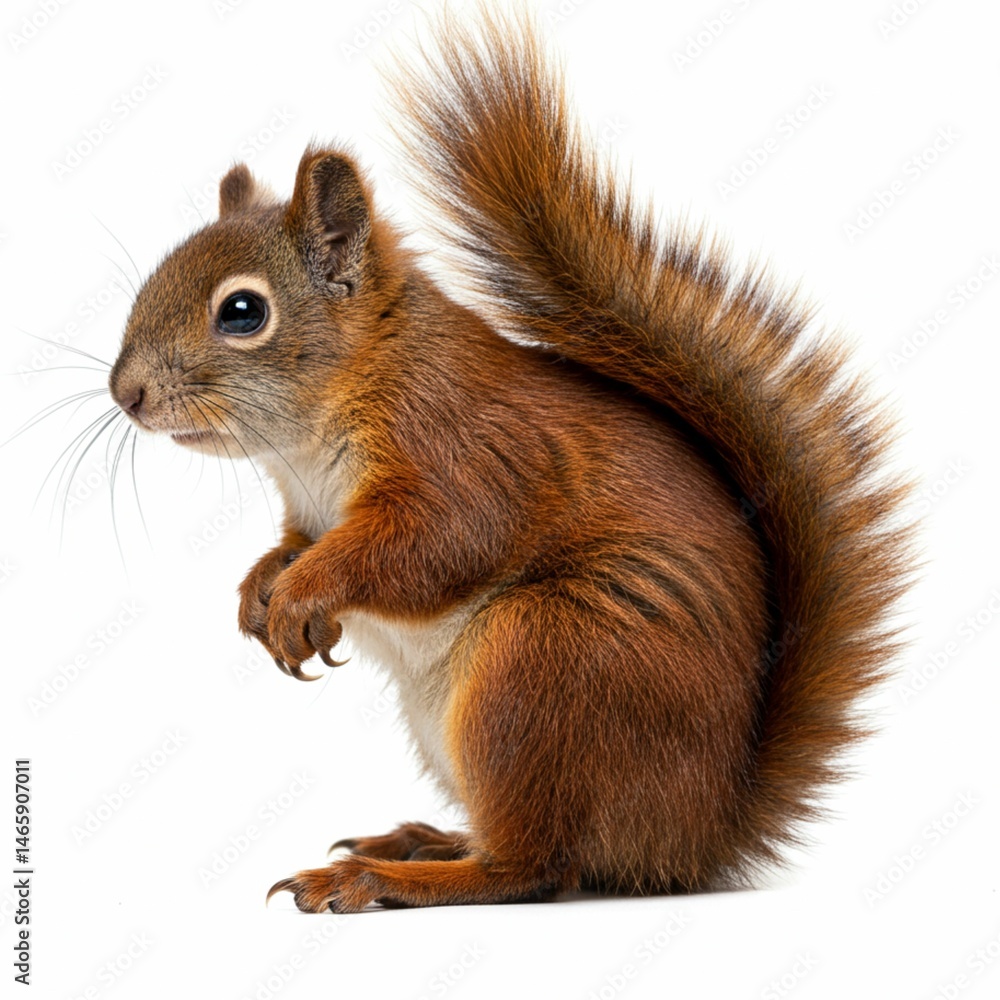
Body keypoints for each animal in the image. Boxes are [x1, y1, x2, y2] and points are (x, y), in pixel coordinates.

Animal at [107, 11, 911, 911]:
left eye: (243, 312)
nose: (125, 392)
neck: (315, 434)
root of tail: (702, 835)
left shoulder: (466, 450)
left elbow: (439, 543)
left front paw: (305, 593)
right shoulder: (311, 508)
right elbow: (292, 545)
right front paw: (259, 588)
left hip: (541, 664)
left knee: (530, 867)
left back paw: (380, 878)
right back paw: (419, 840)